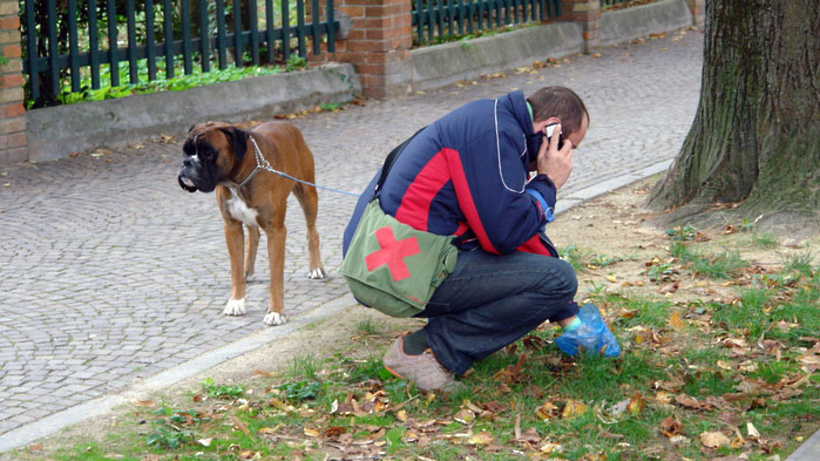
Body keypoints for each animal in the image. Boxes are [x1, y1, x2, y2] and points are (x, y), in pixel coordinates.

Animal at [178, 120, 326, 326]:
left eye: (208, 152)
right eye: (185, 151)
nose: (186, 163)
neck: (238, 181)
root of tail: (286, 123)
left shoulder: (276, 231)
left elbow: (275, 276)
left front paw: (275, 312)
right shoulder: (231, 227)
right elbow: (235, 268)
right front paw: (236, 302)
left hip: (307, 194)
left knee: (312, 232)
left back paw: (315, 268)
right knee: (254, 235)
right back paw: (247, 271)